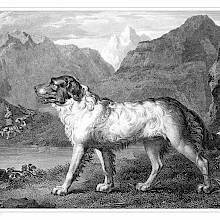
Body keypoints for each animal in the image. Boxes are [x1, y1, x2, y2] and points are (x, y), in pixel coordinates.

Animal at [34, 75, 218, 196]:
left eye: (52, 83)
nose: (35, 88)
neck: (78, 105)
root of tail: (177, 104)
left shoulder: (80, 146)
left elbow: (71, 170)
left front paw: (62, 189)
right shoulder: (102, 148)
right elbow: (107, 168)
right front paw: (107, 187)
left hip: (180, 141)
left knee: (202, 161)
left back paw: (207, 188)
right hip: (151, 143)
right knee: (157, 165)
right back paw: (145, 186)